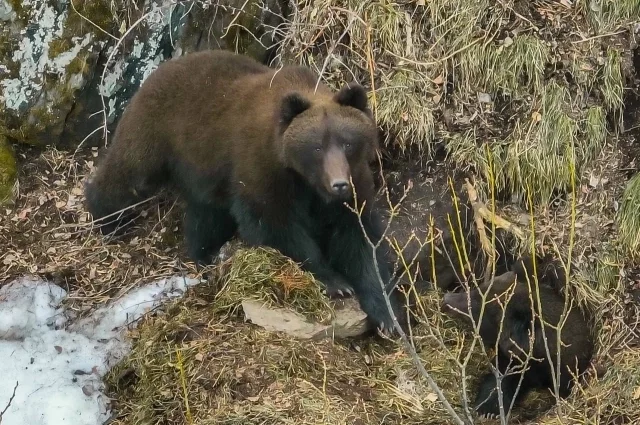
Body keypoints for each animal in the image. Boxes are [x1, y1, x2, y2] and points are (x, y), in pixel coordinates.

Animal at [84, 48, 402, 330]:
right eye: (317, 147)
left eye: (347, 142)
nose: (338, 184)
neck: (304, 179)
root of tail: (159, 70)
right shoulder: (262, 169)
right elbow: (274, 225)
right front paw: (334, 281)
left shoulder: (353, 188)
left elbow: (359, 239)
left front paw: (387, 314)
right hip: (157, 132)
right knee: (128, 174)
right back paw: (107, 219)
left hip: (203, 169)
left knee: (206, 216)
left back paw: (204, 254)